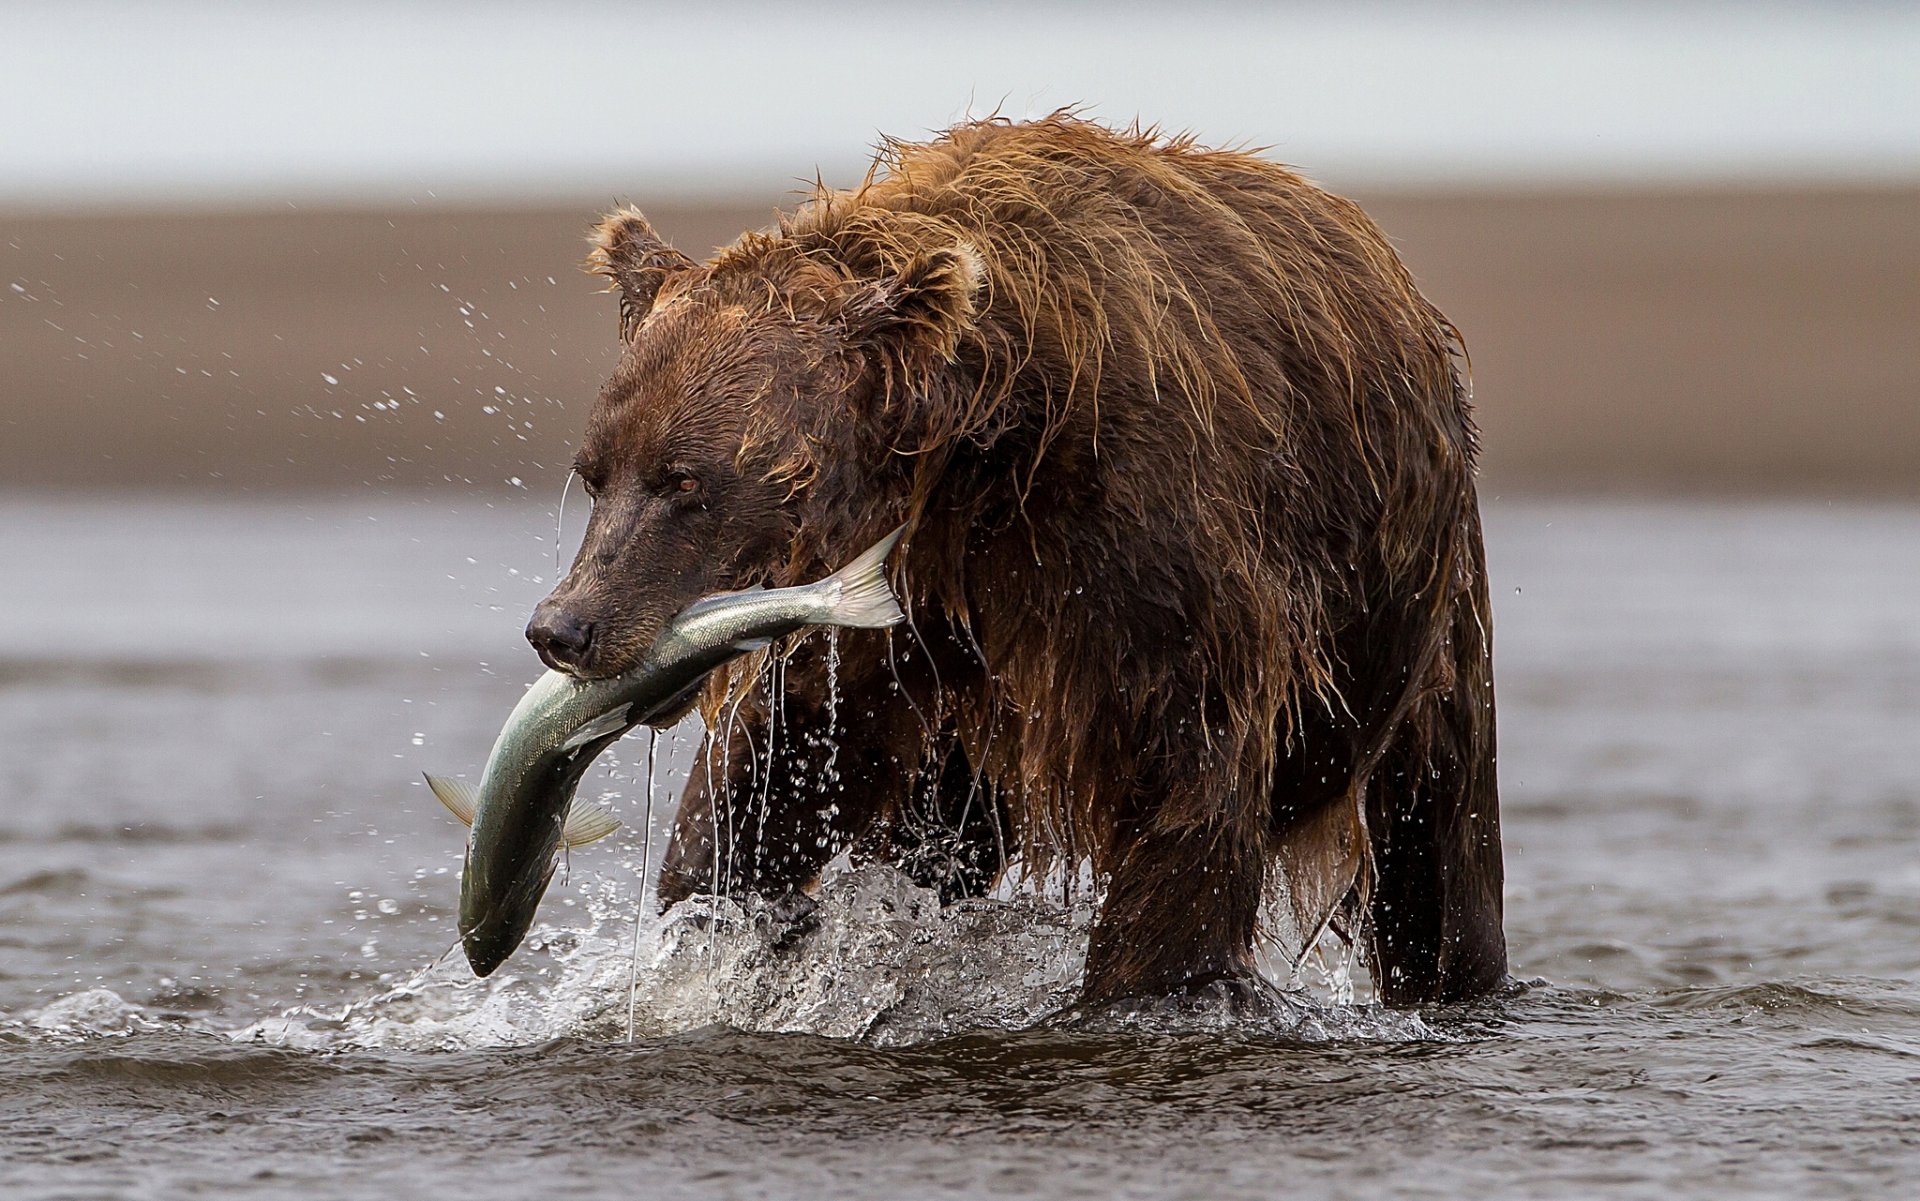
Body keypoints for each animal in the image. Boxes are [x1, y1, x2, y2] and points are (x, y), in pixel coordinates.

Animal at [529, 114, 1512, 1012]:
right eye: (596, 472)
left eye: (685, 480)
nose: (564, 625)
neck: (978, 443)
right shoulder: (897, 599)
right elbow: (779, 764)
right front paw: (723, 922)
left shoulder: (1144, 545)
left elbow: (1186, 786)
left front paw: (1141, 986)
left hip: (1417, 614)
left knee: (1438, 849)